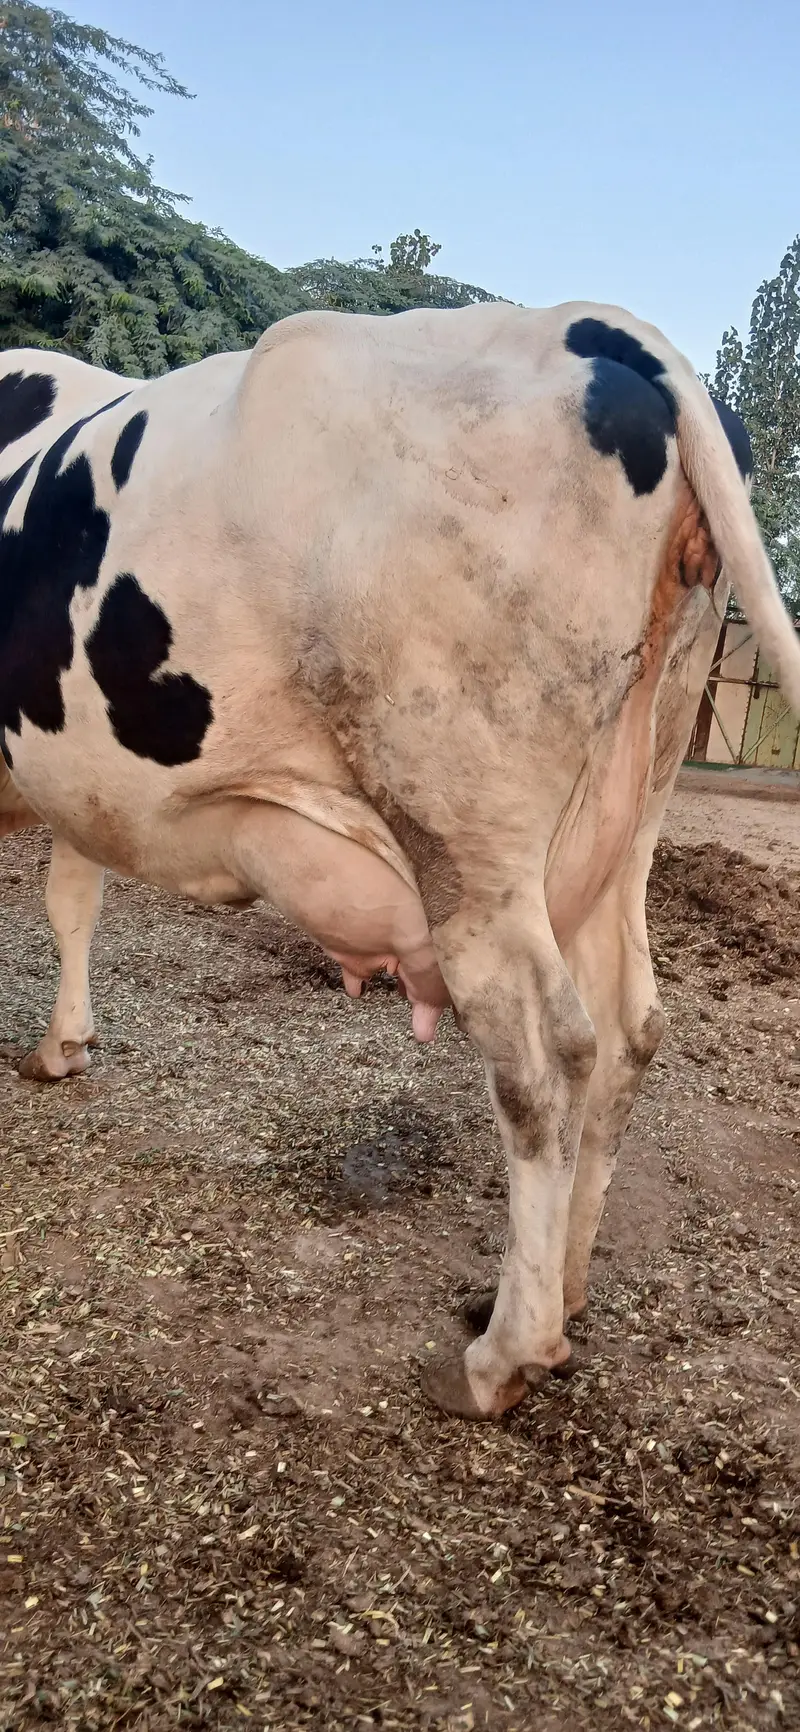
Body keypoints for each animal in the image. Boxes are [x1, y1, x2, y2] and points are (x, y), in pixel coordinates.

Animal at [1, 302, 797, 1421]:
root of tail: (601, 327)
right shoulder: (78, 783)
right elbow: (74, 895)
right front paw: (63, 1045)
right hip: (632, 795)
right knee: (629, 1025)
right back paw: (567, 1288)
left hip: (464, 819)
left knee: (544, 1054)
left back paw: (502, 1355)